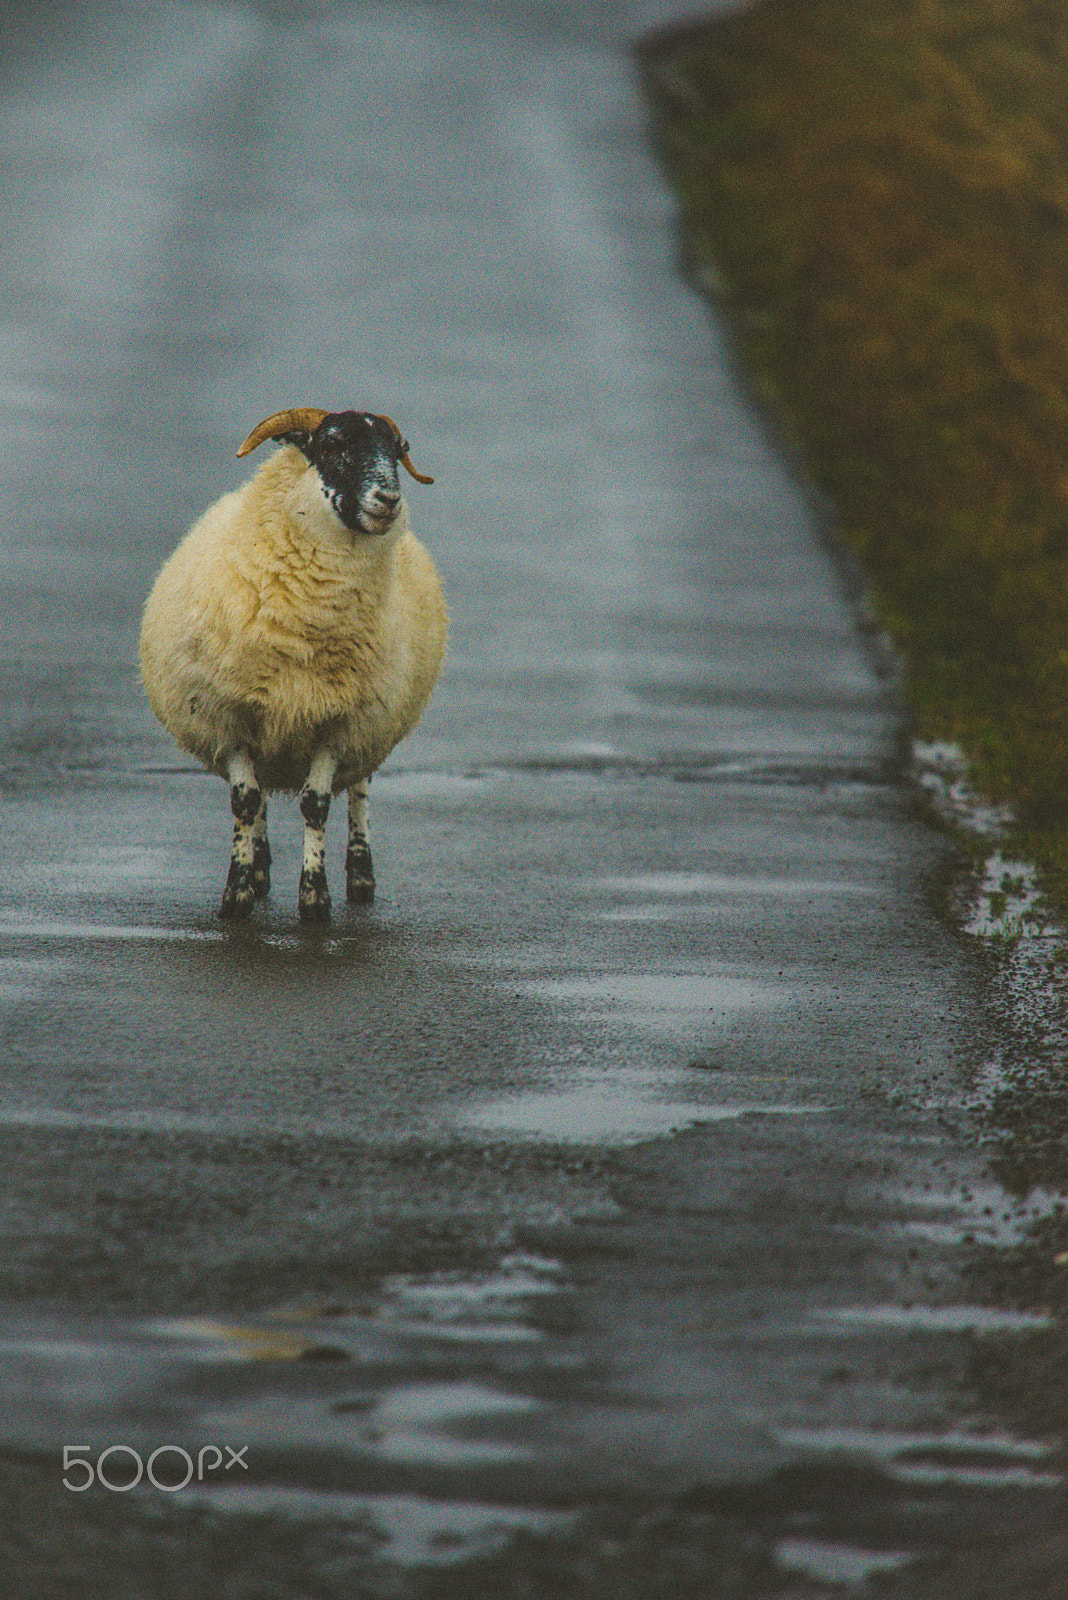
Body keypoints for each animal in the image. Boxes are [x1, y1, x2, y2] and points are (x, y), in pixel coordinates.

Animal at [139, 406, 447, 921]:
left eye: (397, 450)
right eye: (332, 444)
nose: (389, 499)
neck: (307, 624)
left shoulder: (338, 722)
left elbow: (316, 806)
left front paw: (315, 899)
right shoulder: (232, 717)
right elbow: (245, 802)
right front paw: (237, 894)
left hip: (371, 726)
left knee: (359, 790)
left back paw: (360, 876)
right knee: (260, 795)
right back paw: (260, 869)